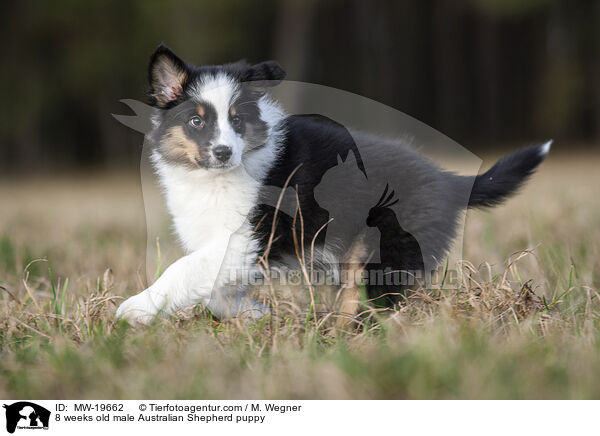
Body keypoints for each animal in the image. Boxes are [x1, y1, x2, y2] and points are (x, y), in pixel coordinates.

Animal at [115, 45, 552, 324]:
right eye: (196, 121)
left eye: (237, 120)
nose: (224, 153)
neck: (214, 177)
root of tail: (446, 180)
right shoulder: (231, 248)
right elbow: (214, 290)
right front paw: (253, 314)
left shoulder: (246, 237)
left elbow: (183, 270)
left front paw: (133, 311)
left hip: (384, 251)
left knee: (382, 304)